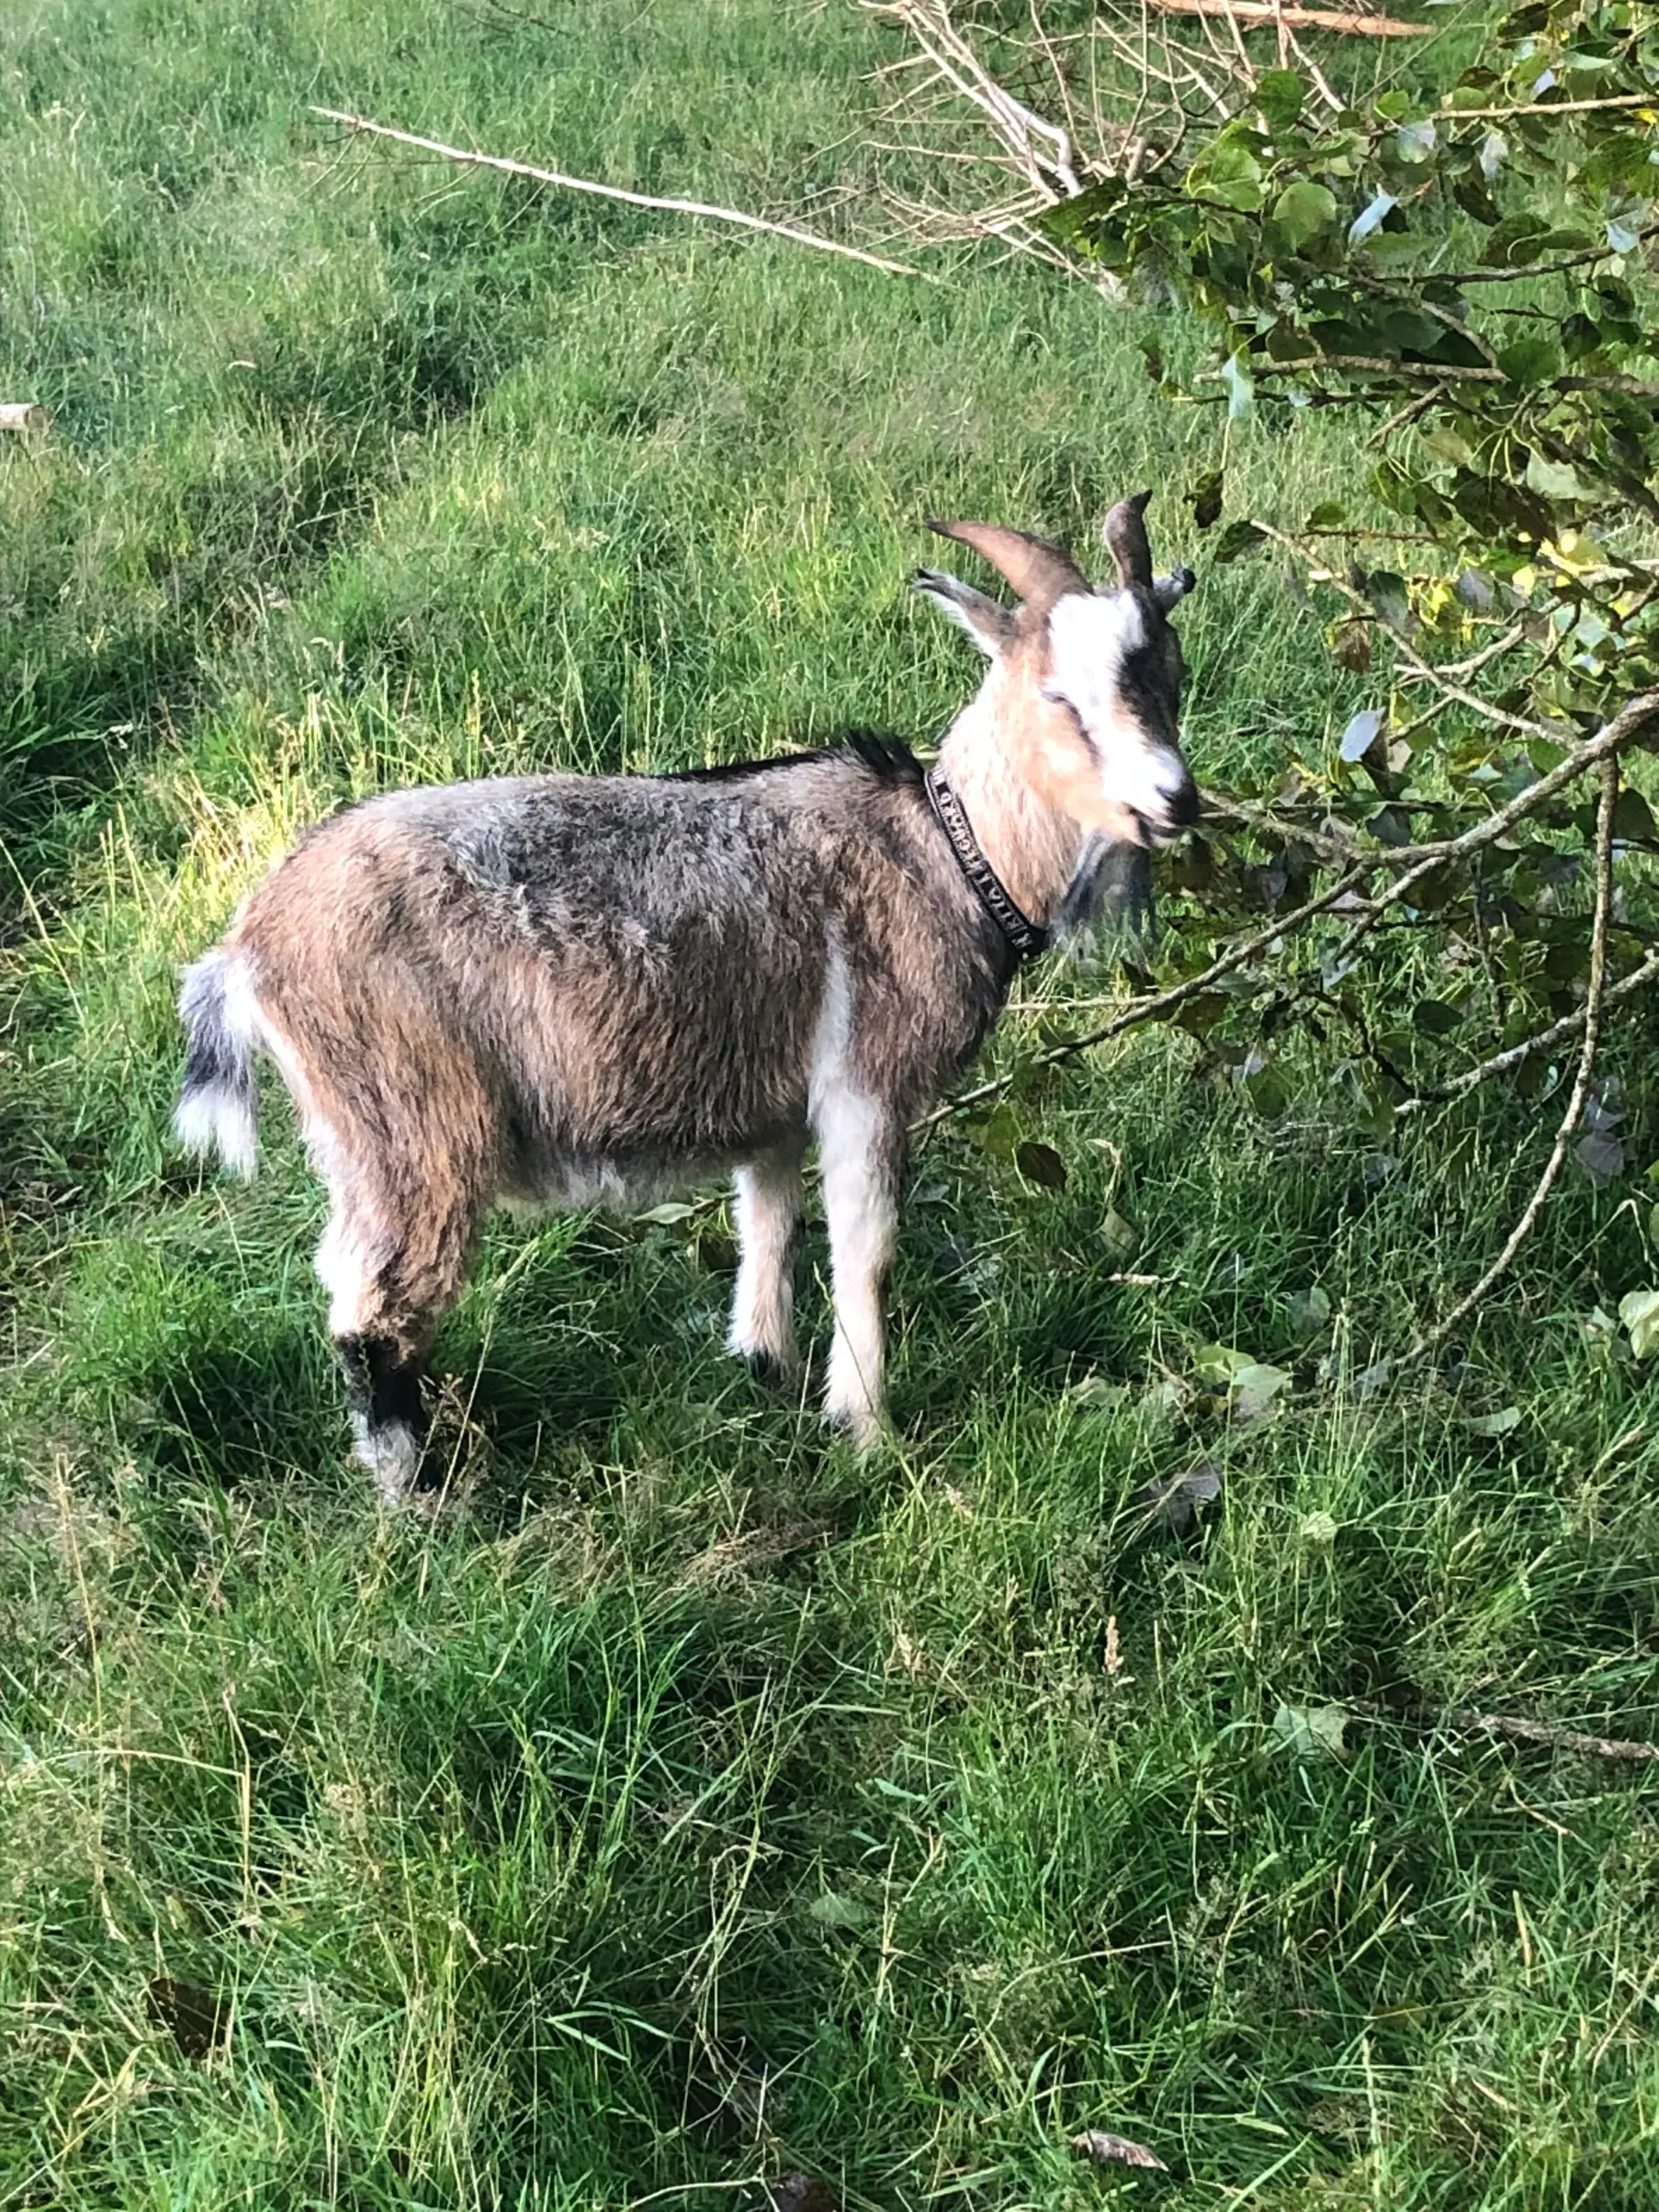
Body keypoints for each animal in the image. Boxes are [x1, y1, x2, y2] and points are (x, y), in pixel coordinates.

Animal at [175, 498, 1203, 1503]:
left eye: (1172, 674)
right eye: (1057, 696)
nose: (1174, 801)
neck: (944, 852)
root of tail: (246, 946)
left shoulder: (777, 1099)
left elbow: (770, 1218)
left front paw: (763, 1366)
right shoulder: (865, 1084)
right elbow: (865, 1246)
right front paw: (868, 1431)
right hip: (410, 1119)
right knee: (373, 1303)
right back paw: (424, 1493)